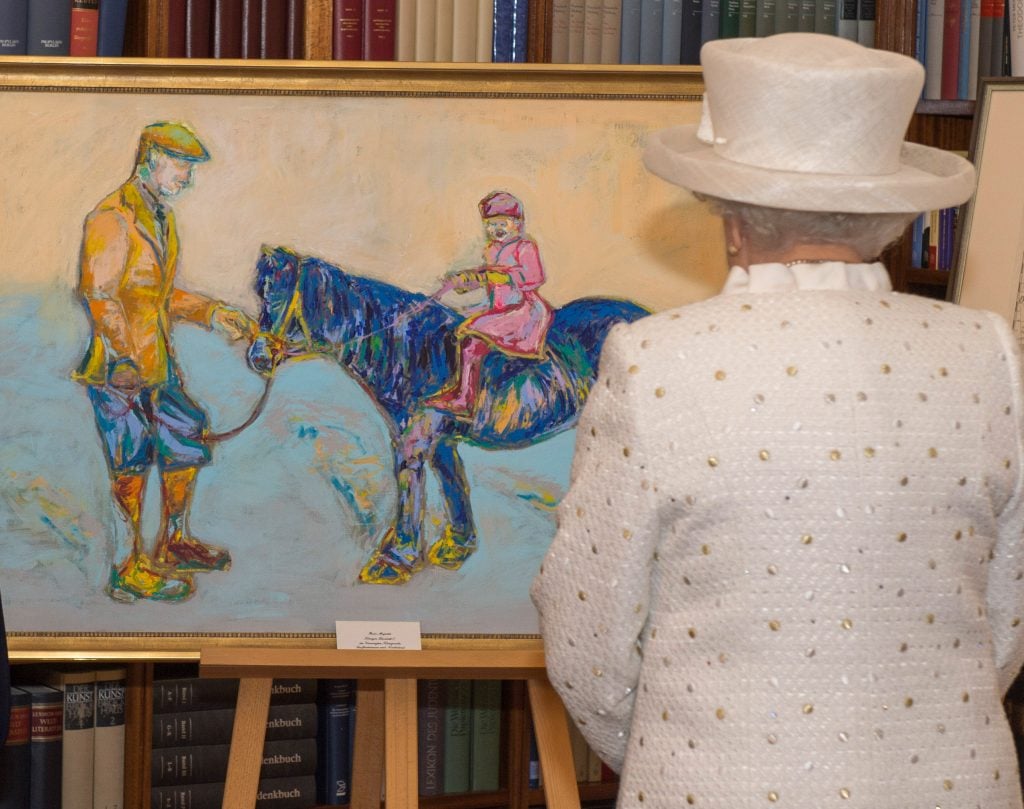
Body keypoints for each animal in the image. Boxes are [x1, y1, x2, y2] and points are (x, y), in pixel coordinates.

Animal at [247, 243, 647, 585]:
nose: (258, 357)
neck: (417, 351)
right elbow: (453, 483)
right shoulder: (440, 441)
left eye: (278, 295)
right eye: (259, 293)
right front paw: (457, 546)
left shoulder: (414, 441)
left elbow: (410, 487)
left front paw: (395, 559)